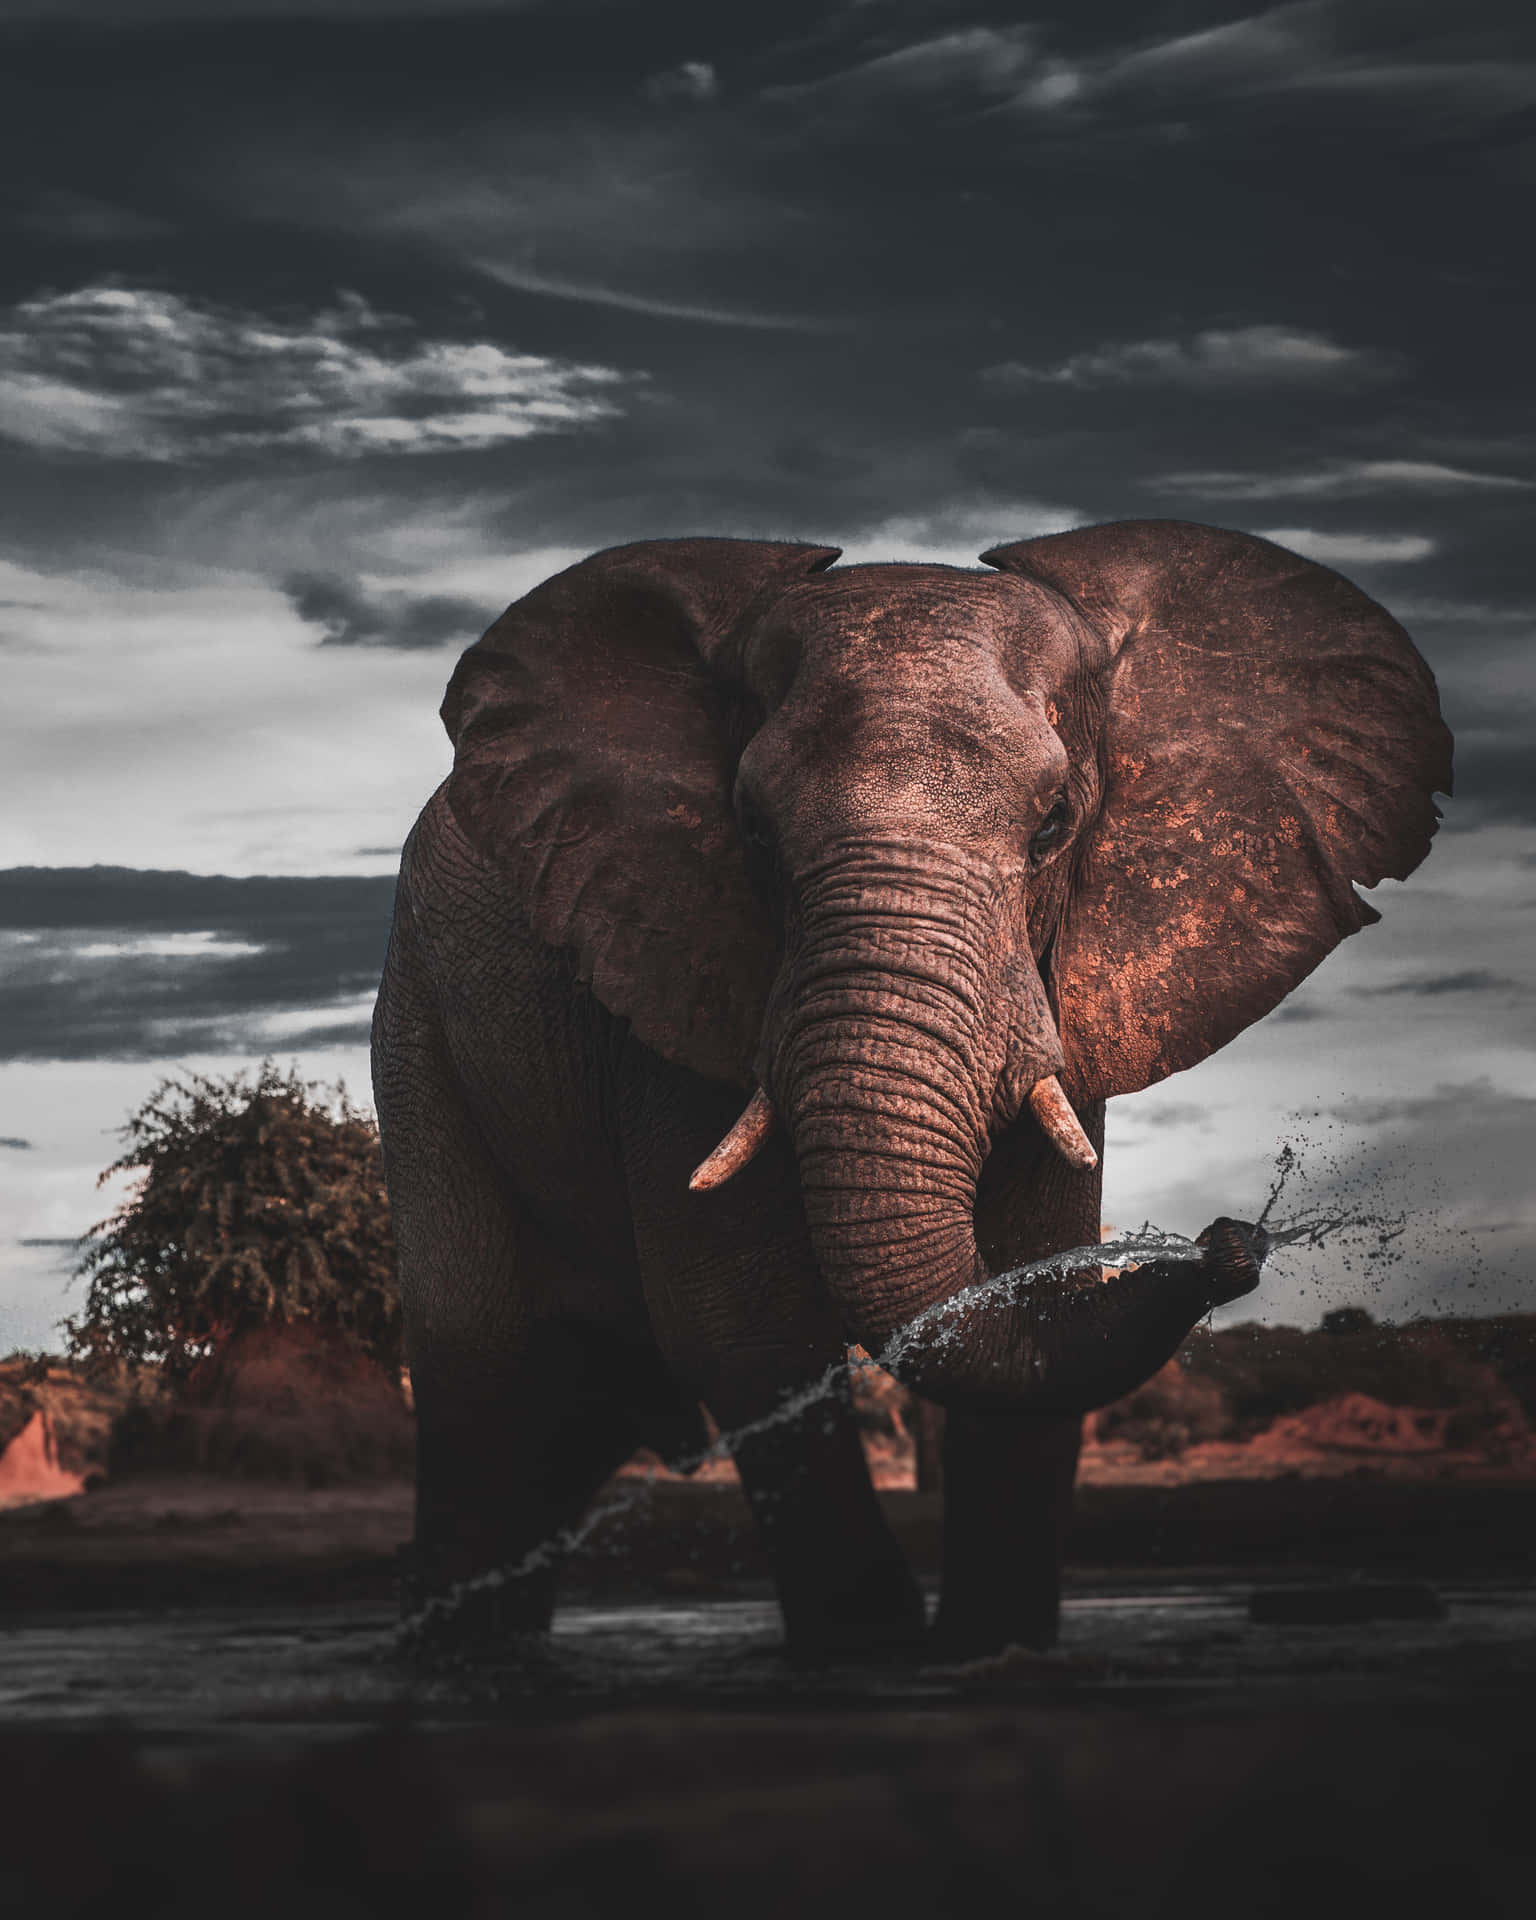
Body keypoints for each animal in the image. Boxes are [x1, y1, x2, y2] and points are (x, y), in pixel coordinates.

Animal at [371, 519, 1451, 1660]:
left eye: (1056, 824)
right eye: (751, 830)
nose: (1231, 1242)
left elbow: (1028, 1281)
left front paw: (992, 1649)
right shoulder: (670, 971)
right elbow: (746, 1327)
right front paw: (872, 1656)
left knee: (572, 1418)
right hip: (422, 1027)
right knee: (484, 1376)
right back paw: (456, 1660)